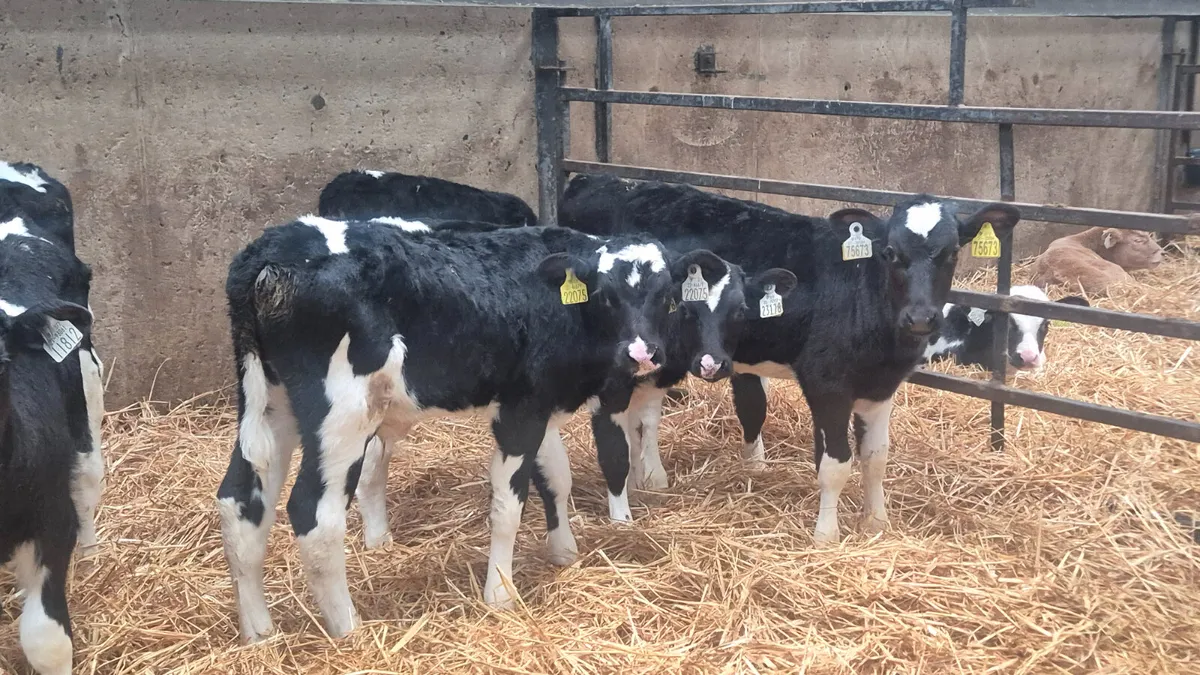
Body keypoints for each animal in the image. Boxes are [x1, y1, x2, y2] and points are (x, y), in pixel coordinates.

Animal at [215, 214, 732, 642]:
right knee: (313, 514)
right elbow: (508, 505)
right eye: (606, 295)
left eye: (668, 297)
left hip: (269, 402)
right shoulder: (520, 411)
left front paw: (563, 551)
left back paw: (258, 632)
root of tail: (273, 249)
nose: (642, 353)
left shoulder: (539, 403)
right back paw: (348, 628)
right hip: (341, 415)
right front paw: (500, 593)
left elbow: (556, 479)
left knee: (240, 499)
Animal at [561, 173, 1021, 543]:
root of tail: (596, 179)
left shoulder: (880, 388)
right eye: (890, 253)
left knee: (642, 413)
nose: (921, 317)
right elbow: (836, 464)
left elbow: (875, 458)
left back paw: (648, 480)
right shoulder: (826, 382)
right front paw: (826, 536)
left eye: (951, 252)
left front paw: (877, 524)